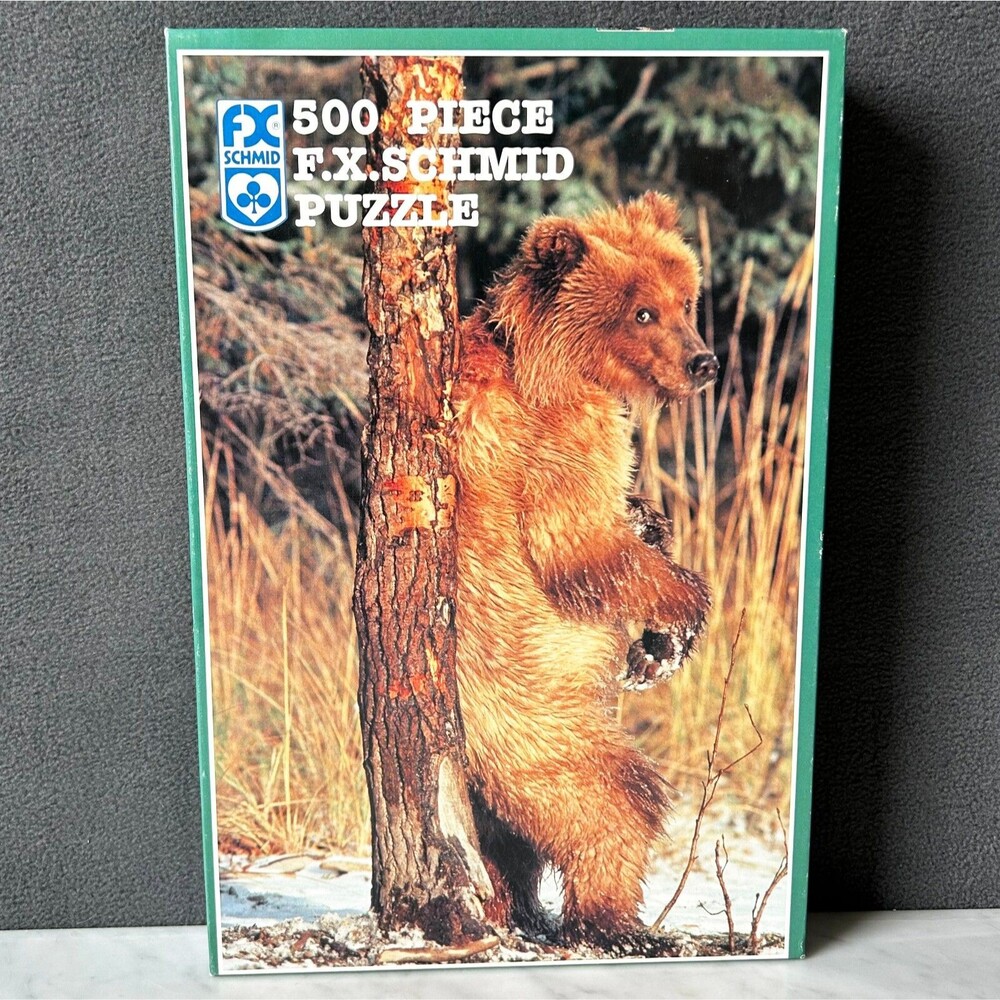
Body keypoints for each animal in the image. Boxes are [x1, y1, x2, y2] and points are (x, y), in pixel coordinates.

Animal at [452, 192, 718, 950]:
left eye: (685, 299)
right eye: (642, 311)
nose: (704, 362)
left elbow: (625, 528)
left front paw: (651, 531)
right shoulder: (554, 439)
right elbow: (578, 549)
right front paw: (675, 628)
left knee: (506, 845)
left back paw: (520, 910)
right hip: (531, 718)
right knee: (612, 799)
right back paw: (618, 923)